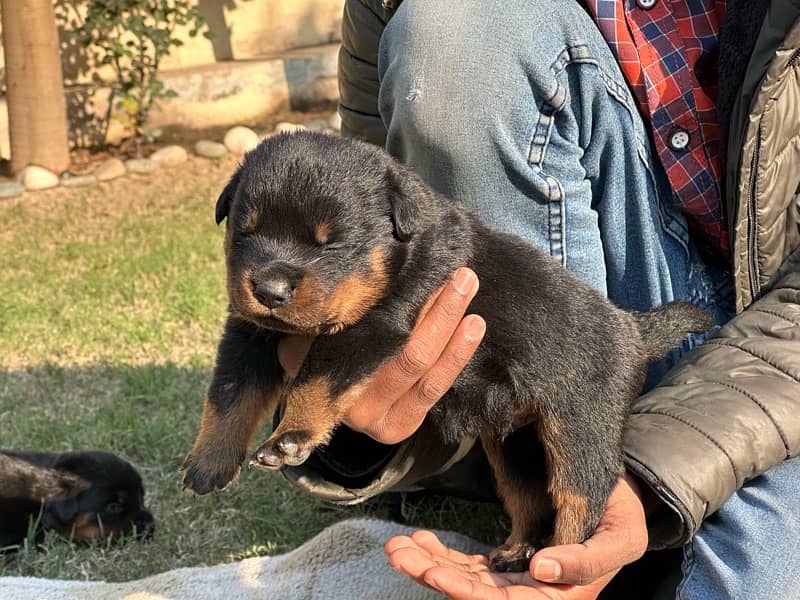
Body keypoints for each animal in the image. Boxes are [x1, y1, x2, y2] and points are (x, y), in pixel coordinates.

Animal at [183, 131, 712, 572]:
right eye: (244, 232)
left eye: (330, 243)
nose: (268, 290)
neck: (401, 251)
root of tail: (633, 328)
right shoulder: (249, 331)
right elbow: (229, 391)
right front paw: (209, 462)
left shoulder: (378, 324)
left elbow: (315, 376)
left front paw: (289, 436)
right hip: (515, 444)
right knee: (529, 497)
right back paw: (518, 553)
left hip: (581, 423)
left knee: (581, 495)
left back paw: (559, 564)